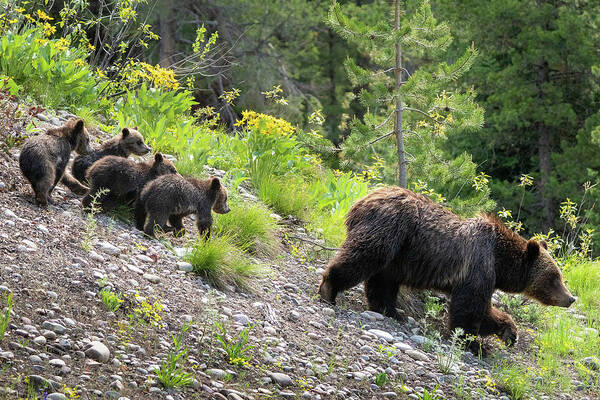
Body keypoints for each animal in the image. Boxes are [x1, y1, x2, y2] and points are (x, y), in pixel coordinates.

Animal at [318, 187, 576, 344]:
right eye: (555, 277)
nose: (571, 298)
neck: (500, 260)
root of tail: (361, 201)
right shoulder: (478, 264)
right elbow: (469, 307)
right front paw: (472, 343)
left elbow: (484, 310)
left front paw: (508, 330)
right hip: (388, 230)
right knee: (363, 257)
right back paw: (329, 288)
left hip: (397, 255)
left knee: (383, 281)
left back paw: (392, 311)